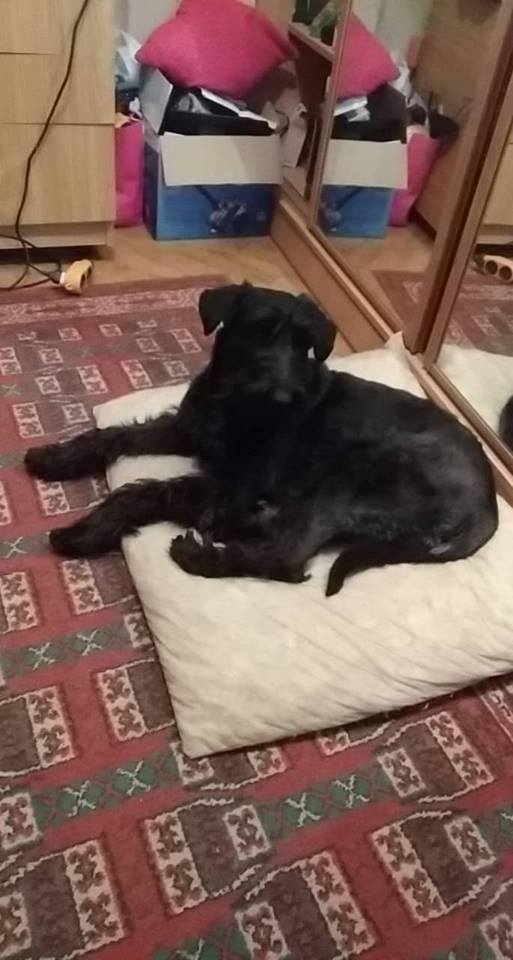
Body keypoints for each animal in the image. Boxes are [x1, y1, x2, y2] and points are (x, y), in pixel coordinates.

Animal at [24, 283, 498, 596]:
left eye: (306, 343)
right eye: (258, 329)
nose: (285, 396)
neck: (230, 403)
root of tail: (488, 508)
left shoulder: (236, 484)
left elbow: (147, 492)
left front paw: (86, 531)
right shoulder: (185, 429)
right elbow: (118, 434)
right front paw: (54, 457)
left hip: (351, 479)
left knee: (287, 557)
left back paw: (202, 554)